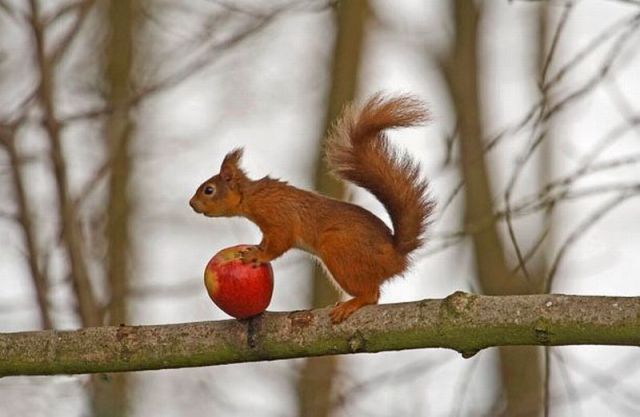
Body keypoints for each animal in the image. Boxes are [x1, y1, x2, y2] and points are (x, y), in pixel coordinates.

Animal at [188, 92, 432, 324]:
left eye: (208, 190)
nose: (191, 204)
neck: (252, 196)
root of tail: (395, 256)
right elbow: (266, 241)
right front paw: (255, 247)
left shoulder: (279, 216)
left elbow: (279, 243)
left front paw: (258, 256)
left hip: (339, 249)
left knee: (371, 295)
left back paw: (351, 304)